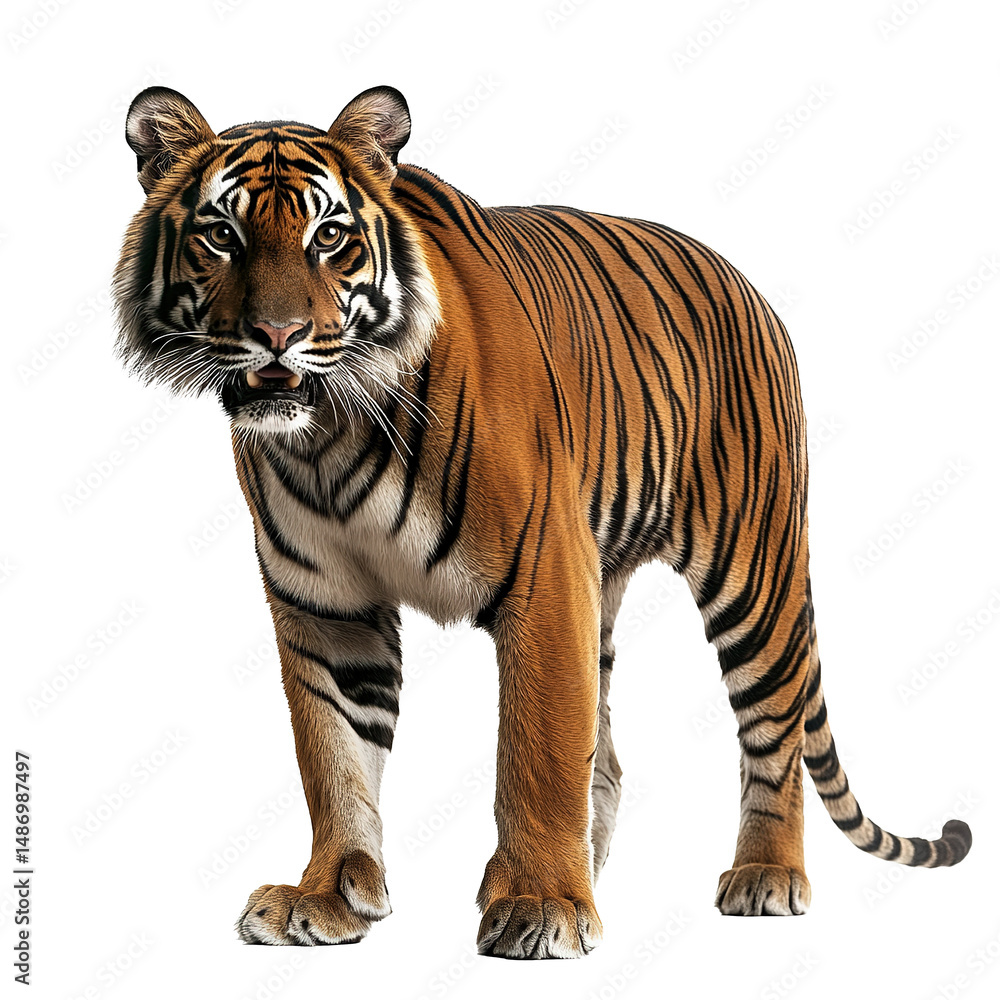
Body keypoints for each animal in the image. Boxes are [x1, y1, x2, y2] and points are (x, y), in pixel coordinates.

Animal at [113, 84, 972, 959]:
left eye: (329, 237)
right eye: (222, 235)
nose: (278, 336)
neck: (330, 432)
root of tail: (749, 288)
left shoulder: (544, 579)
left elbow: (539, 754)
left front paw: (542, 904)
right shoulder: (326, 608)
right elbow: (335, 757)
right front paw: (325, 896)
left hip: (753, 574)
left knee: (775, 732)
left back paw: (765, 874)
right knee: (615, 761)